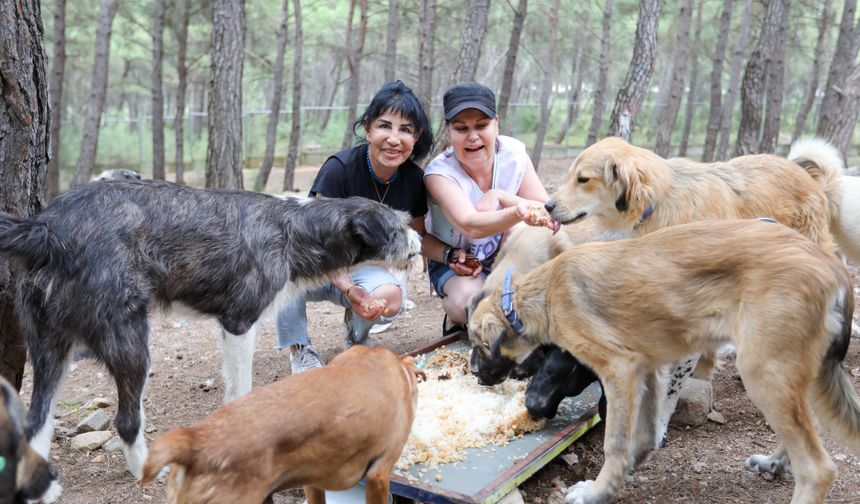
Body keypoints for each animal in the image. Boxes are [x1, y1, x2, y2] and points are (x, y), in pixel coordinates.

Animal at [0, 178, 420, 480]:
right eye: (399, 227)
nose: (418, 239)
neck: (295, 228)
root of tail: (46, 227)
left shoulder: (231, 329)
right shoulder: (240, 323)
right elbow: (243, 386)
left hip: (50, 348)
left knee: (37, 423)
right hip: (131, 345)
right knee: (126, 421)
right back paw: (145, 467)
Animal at [470, 220, 860, 504]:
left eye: (477, 344)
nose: (473, 374)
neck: (543, 294)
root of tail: (833, 266)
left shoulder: (618, 370)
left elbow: (615, 442)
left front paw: (597, 492)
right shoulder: (648, 369)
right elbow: (643, 434)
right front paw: (624, 474)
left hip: (762, 372)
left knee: (817, 468)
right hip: (791, 372)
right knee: (809, 428)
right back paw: (775, 462)